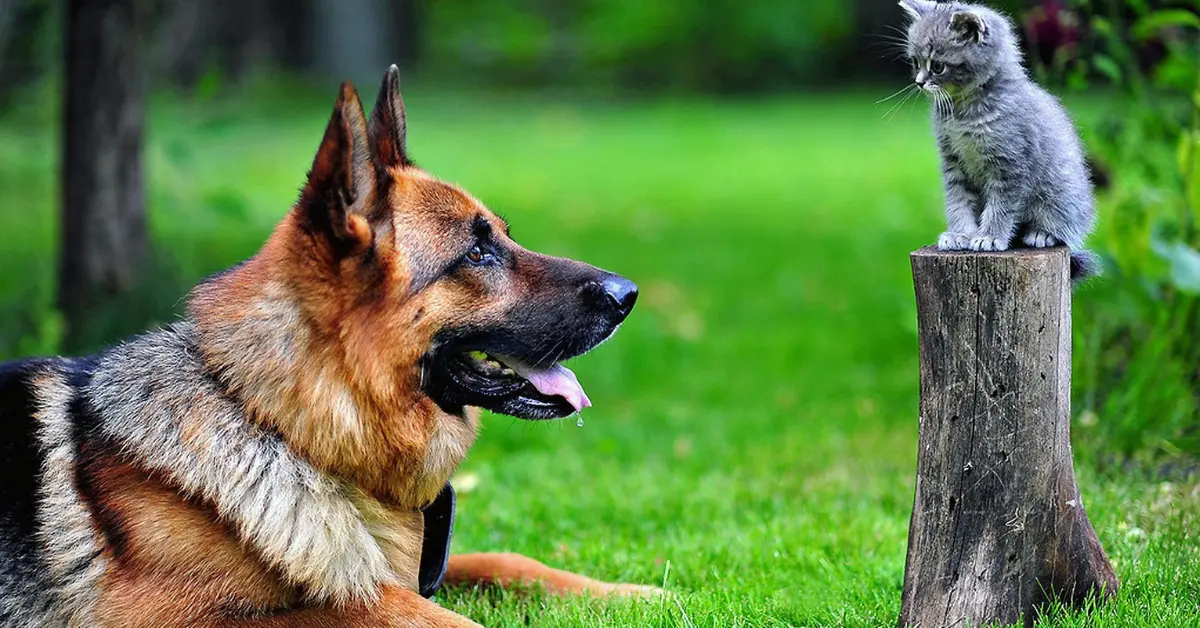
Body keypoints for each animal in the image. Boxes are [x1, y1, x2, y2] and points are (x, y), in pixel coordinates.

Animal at [2, 66, 657, 624]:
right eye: (476, 253)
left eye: (502, 237)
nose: (628, 294)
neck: (280, 424)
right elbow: (387, 603)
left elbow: (502, 559)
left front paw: (635, 592)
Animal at [897, 0, 1099, 279]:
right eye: (915, 62)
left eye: (937, 66)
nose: (918, 82)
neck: (963, 112)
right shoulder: (953, 162)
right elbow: (958, 199)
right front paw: (960, 234)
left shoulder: (1011, 164)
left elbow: (1001, 206)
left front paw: (990, 237)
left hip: (1063, 190)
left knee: (1066, 223)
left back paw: (1041, 233)